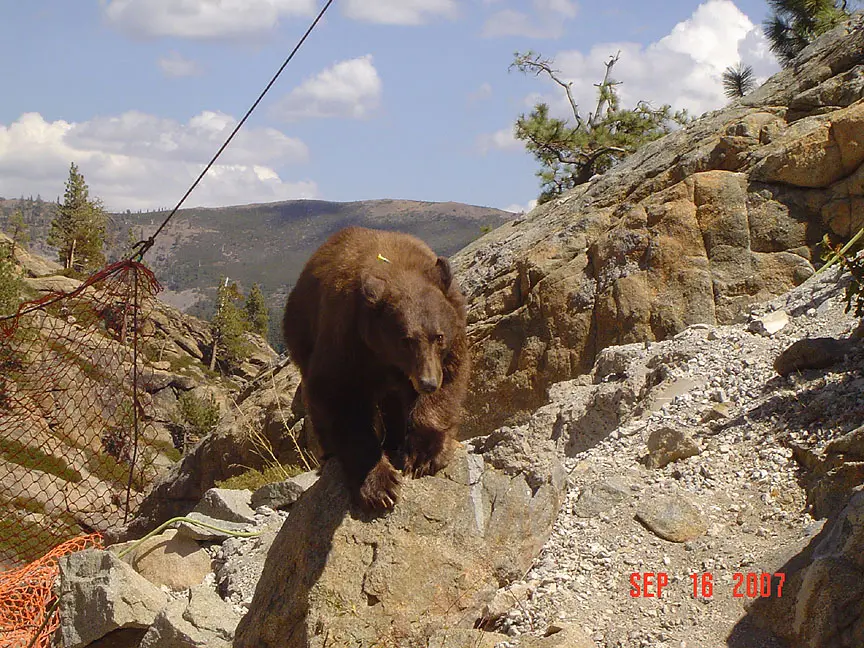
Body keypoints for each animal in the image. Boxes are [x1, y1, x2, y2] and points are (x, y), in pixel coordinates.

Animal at [282, 225, 470, 512]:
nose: (427, 382)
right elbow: (338, 397)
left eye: (438, 336)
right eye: (405, 340)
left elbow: (448, 380)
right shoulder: (347, 339)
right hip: (301, 334)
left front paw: (424, 455)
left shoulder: (452, 328)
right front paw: (379, 486)